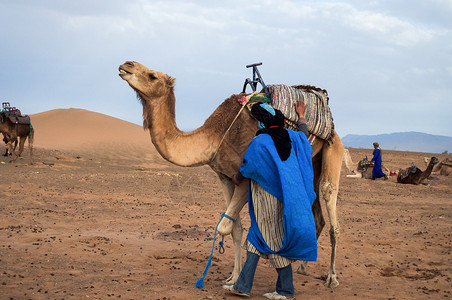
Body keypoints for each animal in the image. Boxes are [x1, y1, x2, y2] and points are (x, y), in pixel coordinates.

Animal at [118, 61, 344, 288]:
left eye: (152, 75)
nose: (126, 65)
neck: (217, 134)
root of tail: (332, 127)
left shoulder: (245, 177)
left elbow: (226, 227)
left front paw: (240, 279)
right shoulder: (225, 178)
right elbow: (235, 227)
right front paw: (233, 277)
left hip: (333, 149)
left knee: (328, 198)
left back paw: (331, 276)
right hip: (312, 163)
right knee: (316, 214)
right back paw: (302, 267)